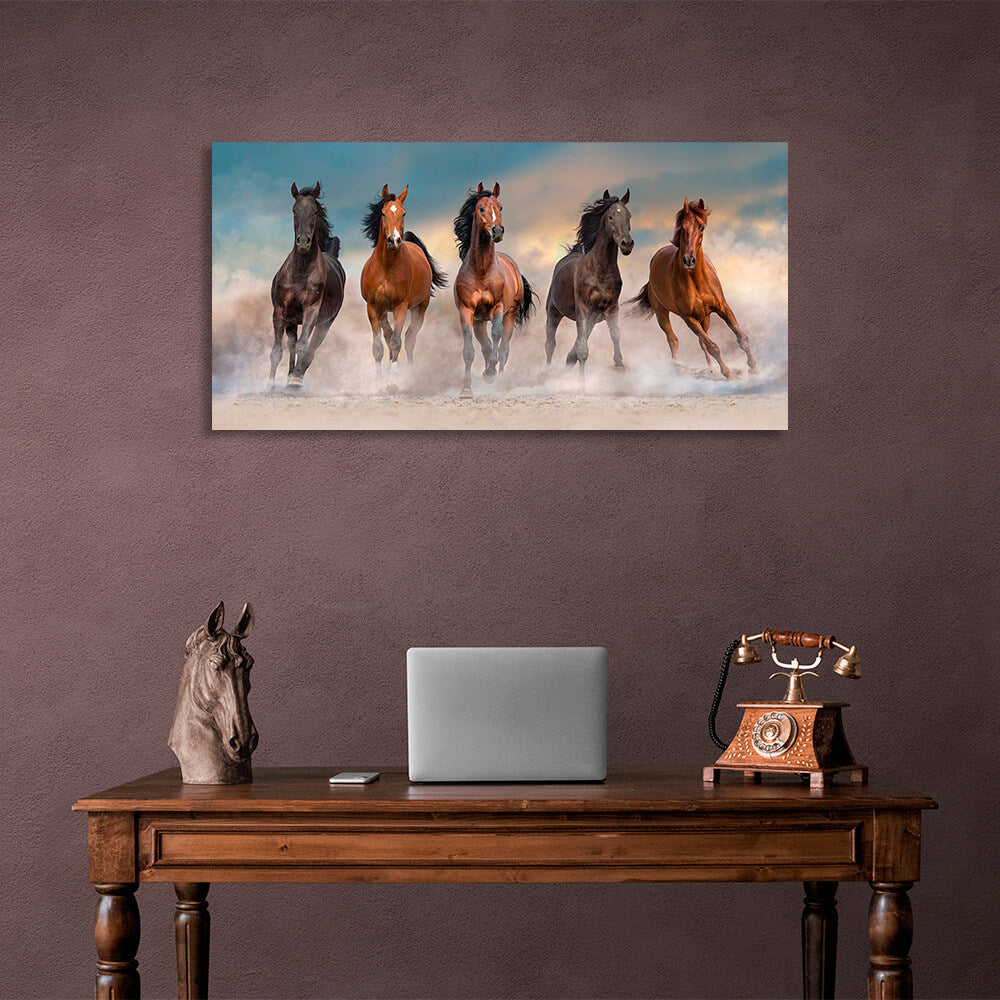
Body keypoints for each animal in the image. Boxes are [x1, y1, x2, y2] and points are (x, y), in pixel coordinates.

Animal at [268, 182, 346, 388]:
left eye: (315, 211)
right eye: (294, 210)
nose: (303, 242)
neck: (300, 272)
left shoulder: (312, 310)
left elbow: (304, 345)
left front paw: (295, 381)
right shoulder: (280, 311)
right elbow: (277, 351)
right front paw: (270, 384)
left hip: (325, 323)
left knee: (312, 348)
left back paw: (296, 376)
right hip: (292, 320)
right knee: (291, 345)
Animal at [362, 184, 448, 386]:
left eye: (403, 213)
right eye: (383, 213)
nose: (394, 240)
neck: (386, 267)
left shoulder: (400, 307)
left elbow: (396, 341)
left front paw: (393, 381)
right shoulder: (372, 307)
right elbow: (378, 346)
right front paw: (378, 380)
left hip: (420, 308)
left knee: (409, 339)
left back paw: (410, 373)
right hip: (383, 311)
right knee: (389, 335)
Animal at [454, 184, 536, 394]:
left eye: (500, 207)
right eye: (481, 208)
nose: (497, 231)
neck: (482, 271)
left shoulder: (497, 307)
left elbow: (497, 335)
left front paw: (490, 373)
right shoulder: (467, 311)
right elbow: (469, 349)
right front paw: (466, 389)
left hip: (511, 313)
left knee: (504, 348)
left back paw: (499, 380)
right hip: (479, 320)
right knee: (486, 345)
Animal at [548, 188, 632, 376]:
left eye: (629, 216)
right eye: (610, 217)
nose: (627, 244)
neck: (599, 270)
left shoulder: (611, 307)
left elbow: (615, 333)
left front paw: (619, 364)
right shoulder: (583, 308)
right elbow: (583, 349)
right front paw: (582, 381)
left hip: (592, 317)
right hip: (553, 311)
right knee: (550, 344)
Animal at [632, 199, 756, 378]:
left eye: (701, 227)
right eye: (682, 227)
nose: (689, 260)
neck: (697, 281)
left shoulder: (723, 308)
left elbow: (741, 338)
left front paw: (753, 368)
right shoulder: (689, 318)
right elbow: (713, 347)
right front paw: (728, 375)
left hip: (705, 317)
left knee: (701, 342)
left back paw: (710, 369)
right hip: (662, 314)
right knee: (673, 340)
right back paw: (675, 368)